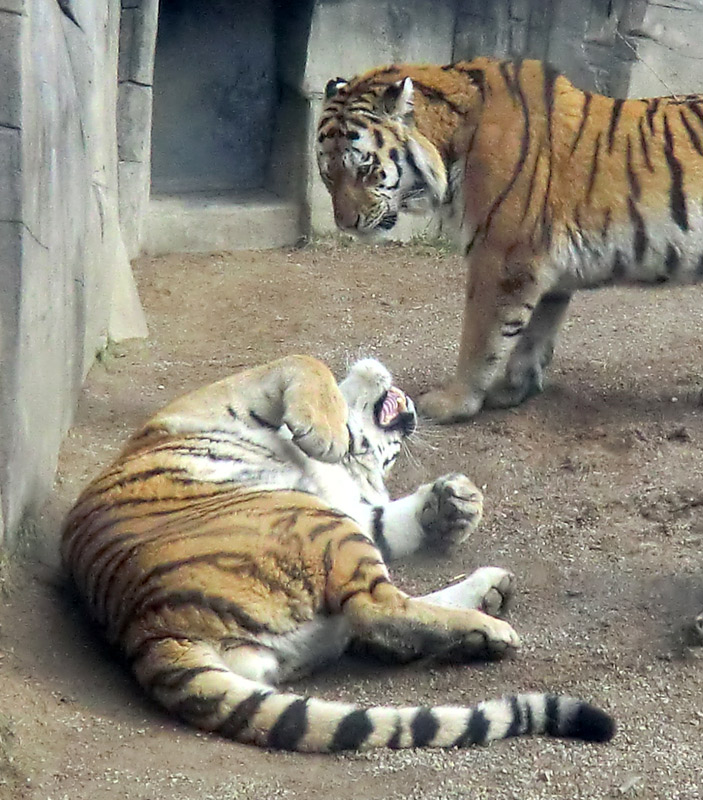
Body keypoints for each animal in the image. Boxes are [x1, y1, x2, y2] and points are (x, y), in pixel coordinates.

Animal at [60, 354, 612, 752]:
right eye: (390, 454)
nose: (410, 422)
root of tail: (145, 630)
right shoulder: (233, 393)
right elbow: (305, 359)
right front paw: (326, 433)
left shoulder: (358, 510)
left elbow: (392, 519)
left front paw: (458, 502)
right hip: (315, 522)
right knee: (377, 609)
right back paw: (489, 625)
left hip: (320, 544)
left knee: (375, 616)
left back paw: (487, 605)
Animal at [318, 58, 703, 422]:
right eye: (328, 174)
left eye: (365, 169)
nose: (346, 223)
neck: (452, 142)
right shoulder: (545, 268)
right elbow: (535, 333)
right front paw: (513, 389)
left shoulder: (501, 257)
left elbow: (479, 339)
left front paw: (453, 402)